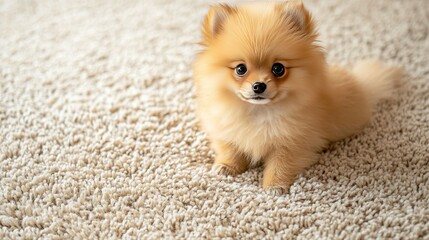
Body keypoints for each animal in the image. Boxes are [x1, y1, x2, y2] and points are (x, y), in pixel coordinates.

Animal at [194, 0, 402, 192]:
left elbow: (281, 164)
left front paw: (274, 186)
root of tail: (362, 85)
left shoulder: (292, 143)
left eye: (278, 69)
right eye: (240, 69)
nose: (259, 86)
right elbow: (230, 148)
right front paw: (225, 166)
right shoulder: (225, 128)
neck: (260, 112)